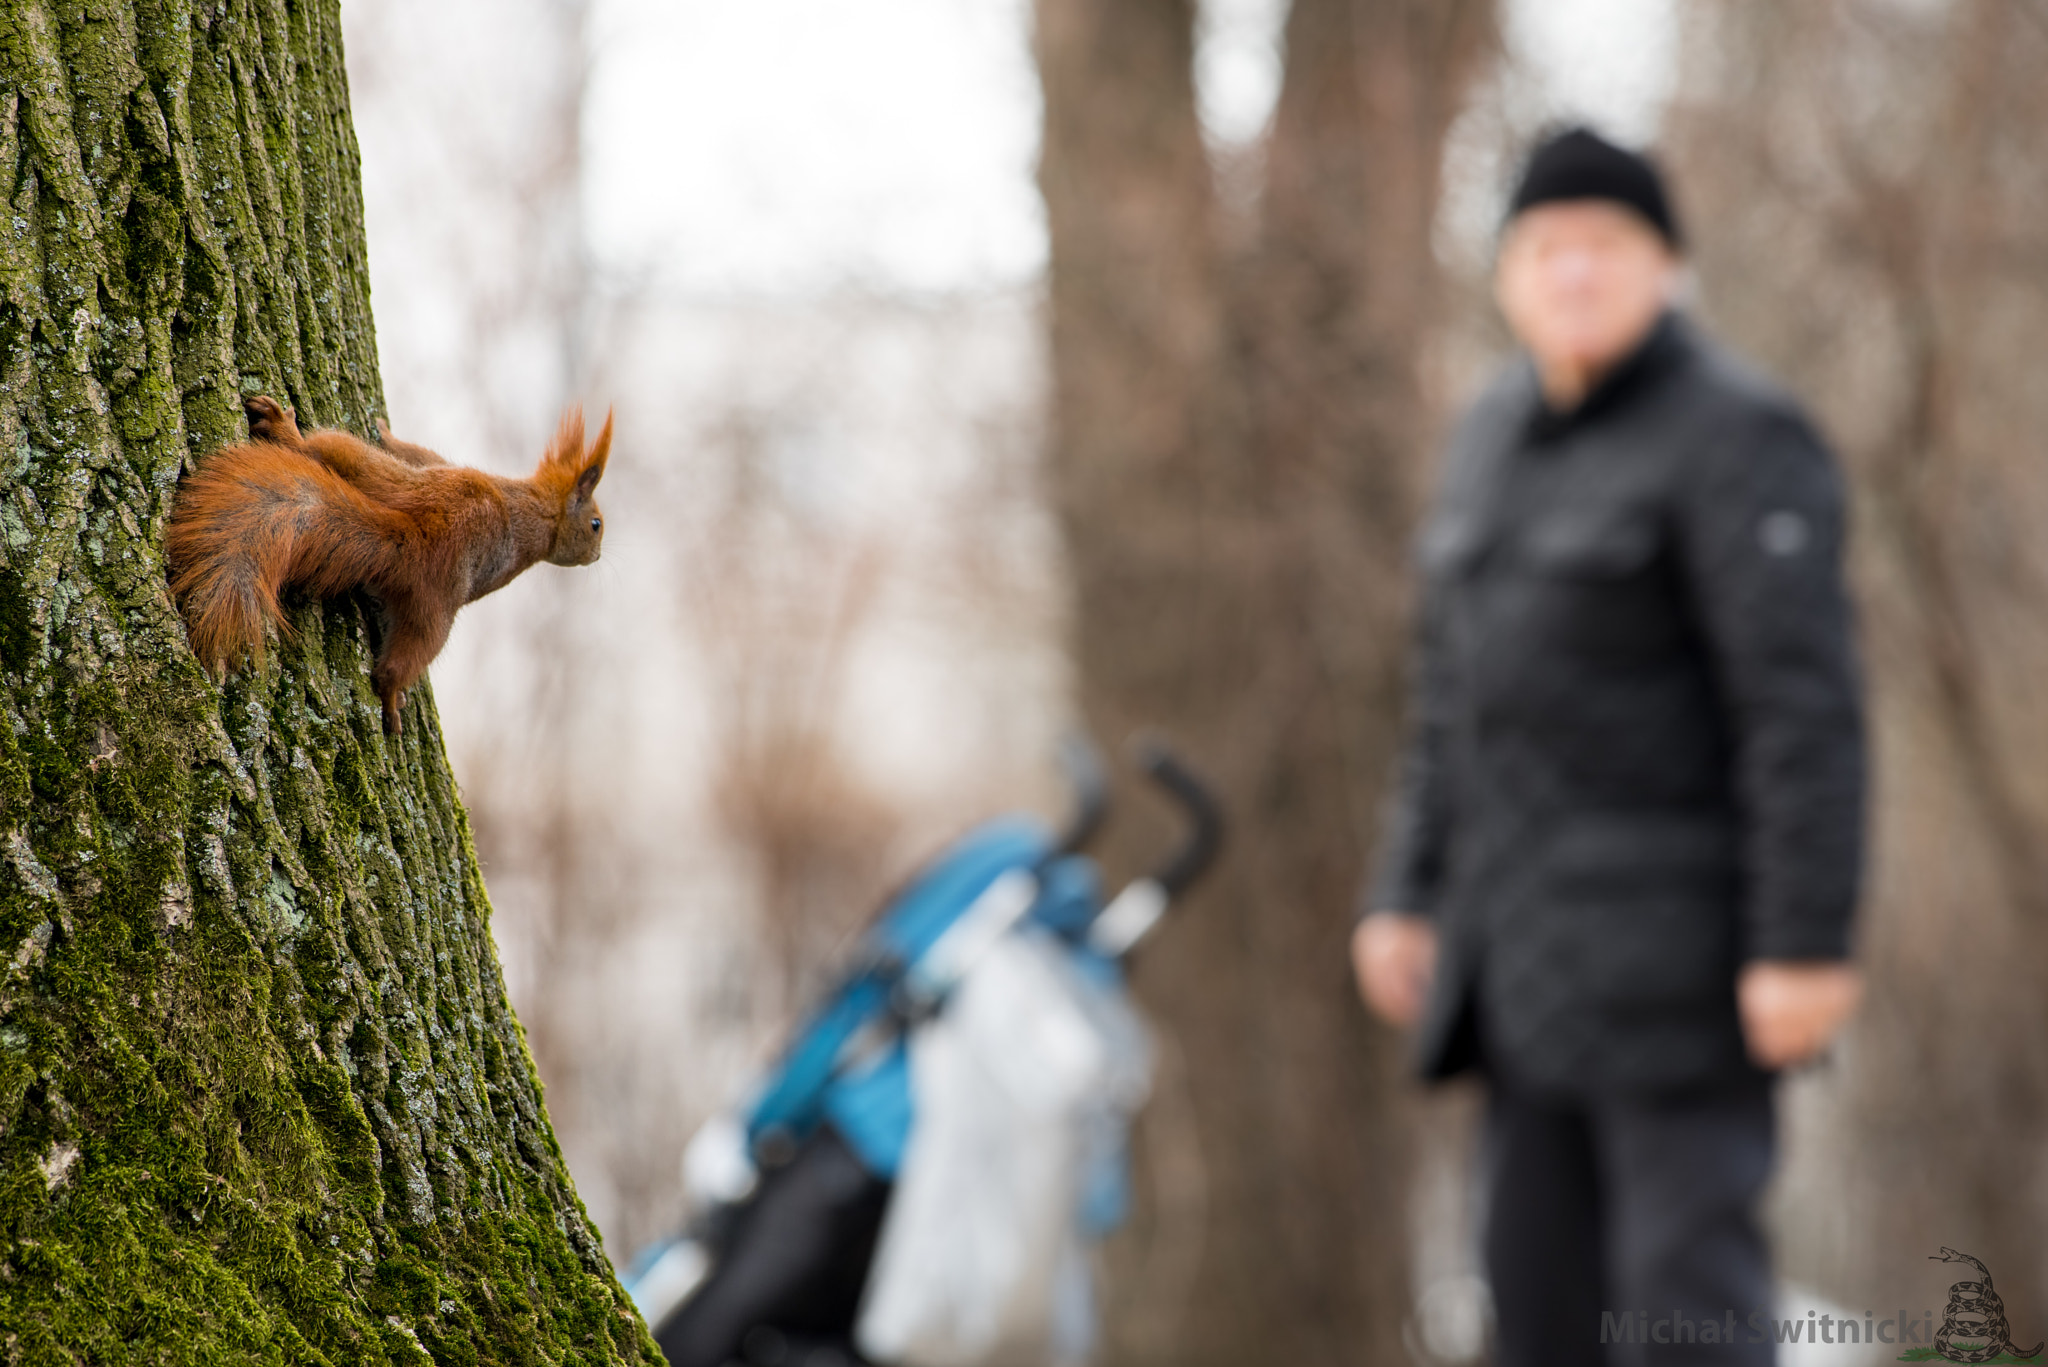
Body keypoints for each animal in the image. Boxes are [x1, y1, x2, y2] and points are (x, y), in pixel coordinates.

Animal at [163, 395, 610, 737]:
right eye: (596, 524)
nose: (597, 556)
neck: (541, 513)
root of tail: (420, 536)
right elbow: (418, 451)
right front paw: (386, 430)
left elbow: (419, 452)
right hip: (410, 495)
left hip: (405, 516)